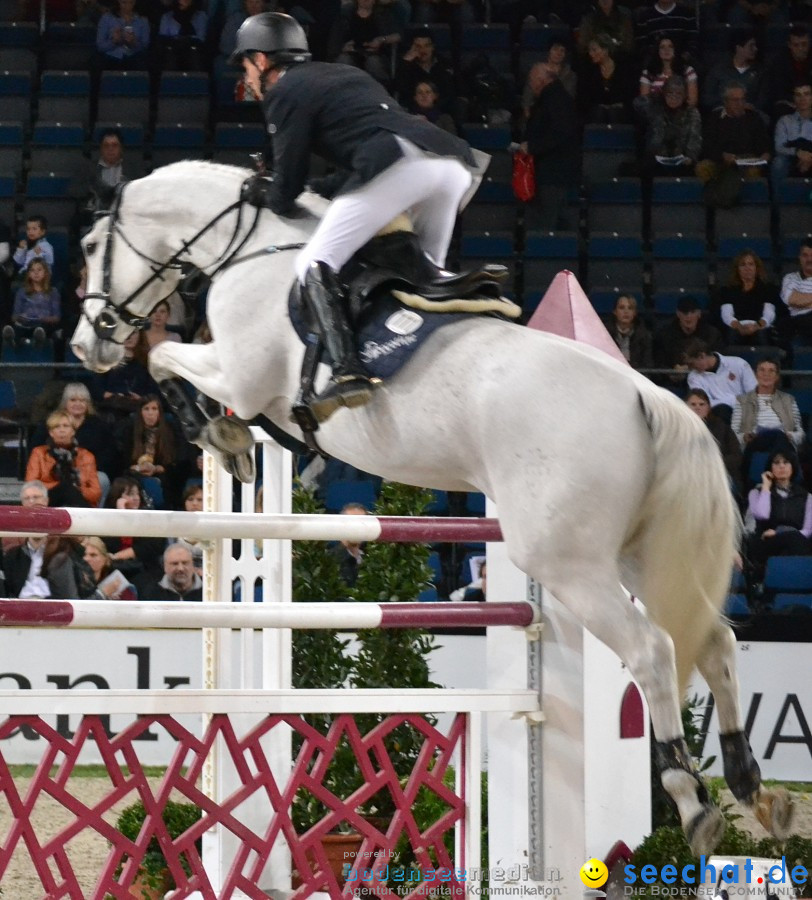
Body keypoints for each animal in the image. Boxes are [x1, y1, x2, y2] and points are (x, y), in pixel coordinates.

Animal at [71, 162, 792, 856]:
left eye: (90, 246)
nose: (85, 346)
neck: (250, 247)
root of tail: (646, 396)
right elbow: (170, 361)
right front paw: (229, 440)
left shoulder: (240, 377)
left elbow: (163, 357)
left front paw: (219, 435)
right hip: (633, 553)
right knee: (716, 642)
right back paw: (752, 787)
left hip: (569, 564)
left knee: (650, 650)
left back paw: (694, 800)